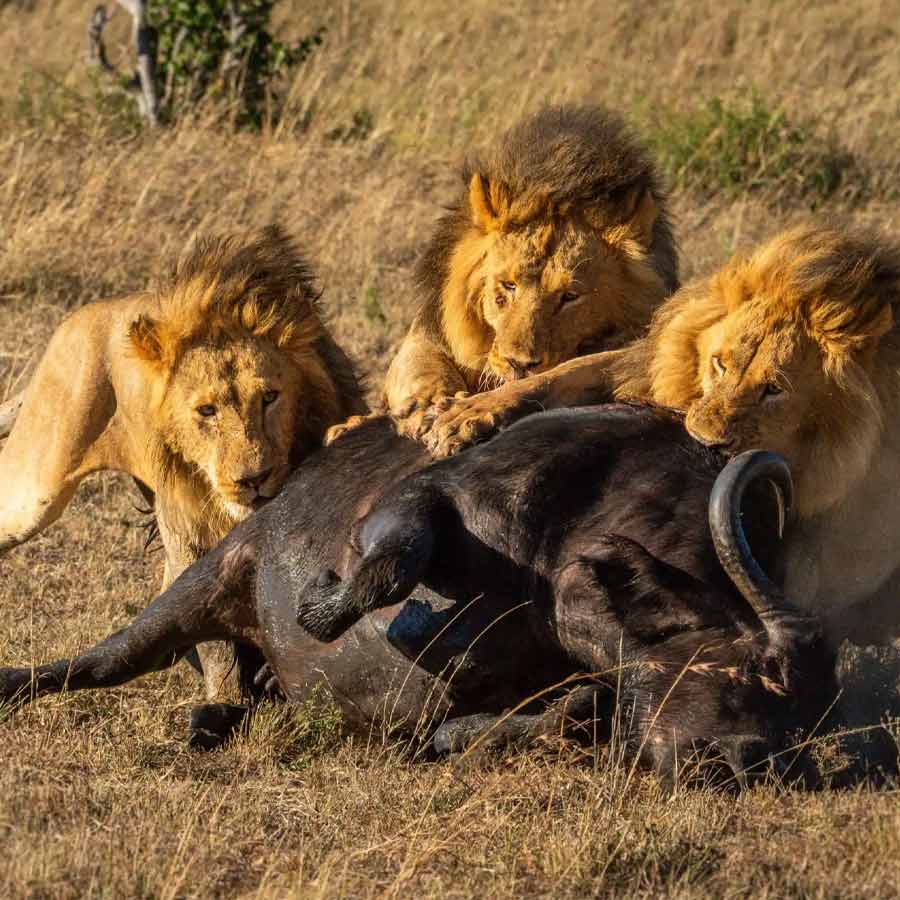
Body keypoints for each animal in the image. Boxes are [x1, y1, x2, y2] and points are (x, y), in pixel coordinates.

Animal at [0, 225, 365, 698]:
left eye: (270, 397)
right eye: (206, 411)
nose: (254, 479)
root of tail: (92, 310)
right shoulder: (186, 530)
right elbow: (213, 643)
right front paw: (228, 700)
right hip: (37, 486)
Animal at [376, 104, 678, 440]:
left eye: (570, 297)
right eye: (508, 286)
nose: (518, 364)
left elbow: (567, 371)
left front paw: (472, 412)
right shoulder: (426, 331)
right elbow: (420, 362)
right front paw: (427, 405)